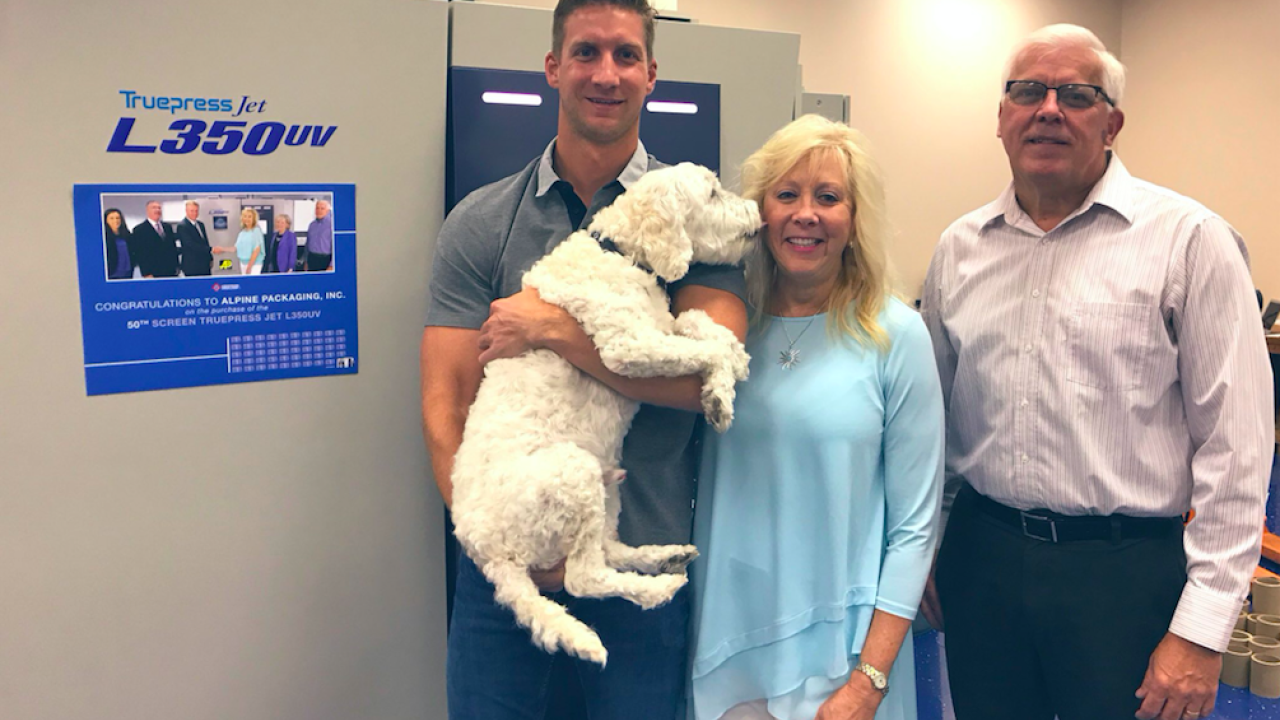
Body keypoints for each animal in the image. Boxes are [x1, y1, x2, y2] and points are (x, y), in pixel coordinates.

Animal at [450, 161, 757, 661]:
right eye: (712, 193)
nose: (757, 211)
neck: (624, 253)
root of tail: (489, 554)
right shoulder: (628, 346)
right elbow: (705, 349)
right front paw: (720, 393)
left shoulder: (662, 326)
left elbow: (700, 324)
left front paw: (734, 361)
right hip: (571, 471)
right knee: (583, 578)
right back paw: (657, 589)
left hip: (605, 486)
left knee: (607, 549)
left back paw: (662, 556)